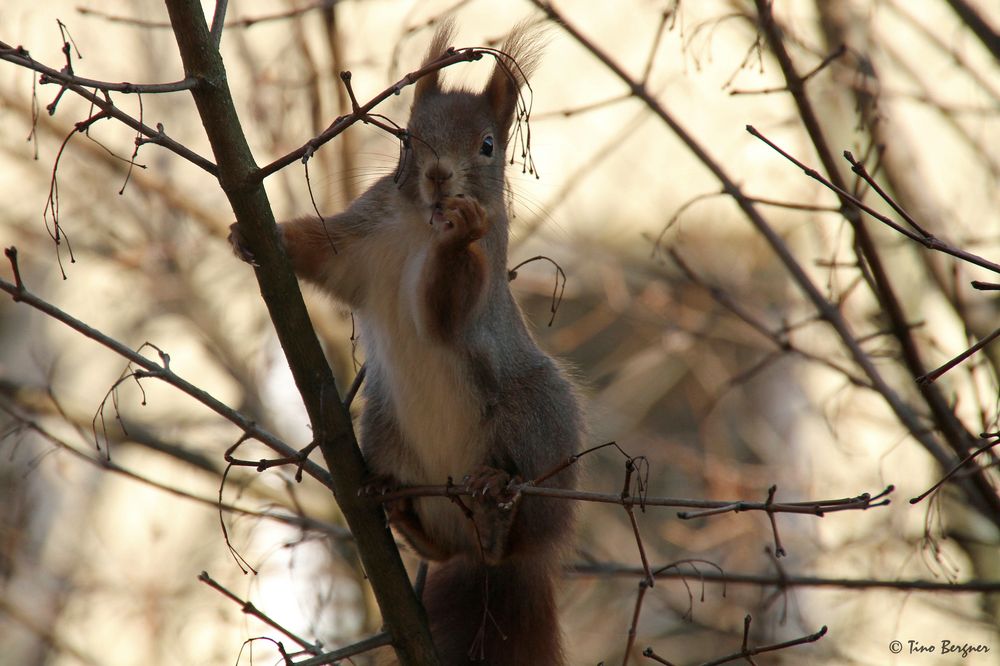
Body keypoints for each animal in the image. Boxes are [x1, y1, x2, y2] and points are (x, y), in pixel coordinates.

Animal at [230, 20, 584, 664]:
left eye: (488, 145)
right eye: (409, 137)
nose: (439, 175)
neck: (420, 222)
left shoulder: (473, 287)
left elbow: (443, 310)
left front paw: (459, 234)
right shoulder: (357, 243)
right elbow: (316, 251)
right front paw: (253, 234)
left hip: (533, 422)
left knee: (523, 526)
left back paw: (497, 510)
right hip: (384, 430)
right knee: (448, 550)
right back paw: (402, 510)